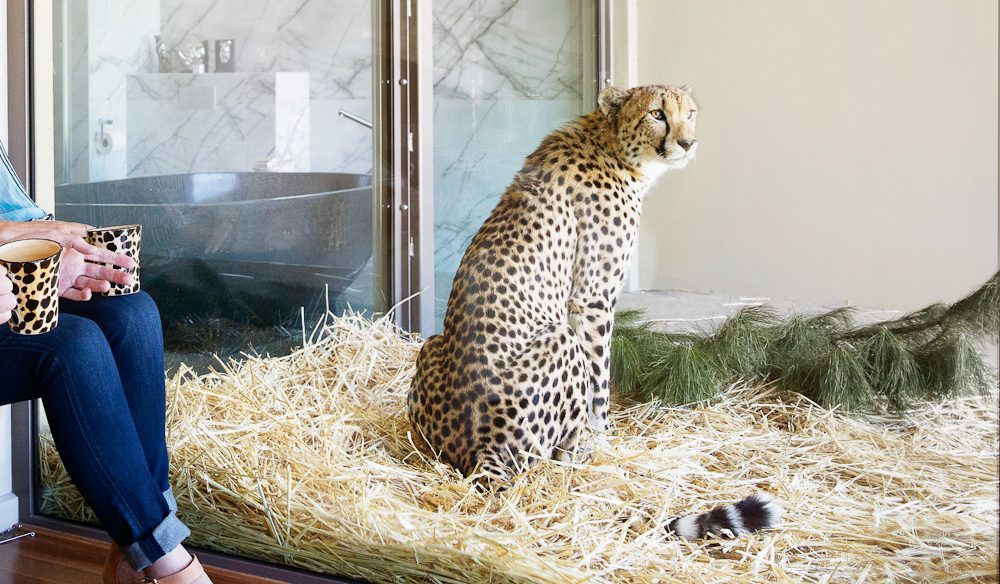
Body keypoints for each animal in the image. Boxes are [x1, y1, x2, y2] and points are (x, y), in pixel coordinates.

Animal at [410, 85, 784, 540]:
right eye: (657, 114)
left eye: (690, 113)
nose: (687, 142)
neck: (612, 143)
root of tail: (478, 450)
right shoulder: (592, 299)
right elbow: (600, 381)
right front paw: (604, 439)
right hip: (559, 341)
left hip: (432, 345)